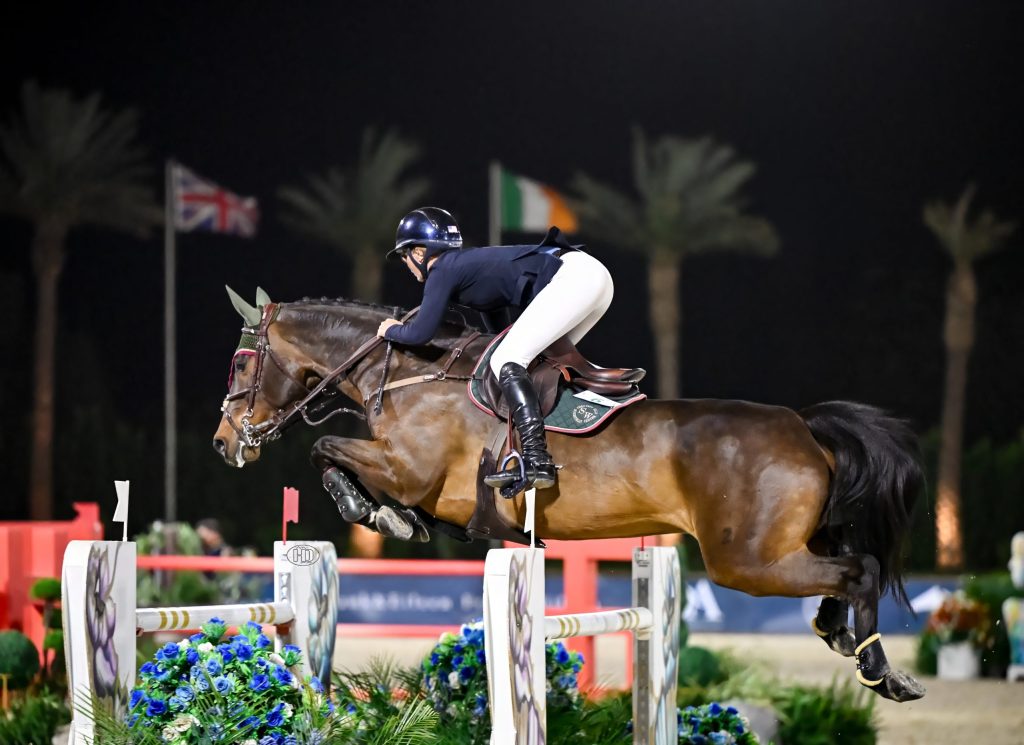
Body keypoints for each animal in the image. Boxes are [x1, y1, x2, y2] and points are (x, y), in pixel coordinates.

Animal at [212, 289, 926, 702]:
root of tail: (806, 427)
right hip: (785, 546)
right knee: (848, 569)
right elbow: (338, 458)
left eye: (241, 365)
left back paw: (879, 671)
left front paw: (373, 510)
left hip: (746, 561)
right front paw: (395, 518)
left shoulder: (407, 468)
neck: (409, 372)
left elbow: (325, 450)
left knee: (859, 571)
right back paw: (848, 640)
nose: (225, 443)